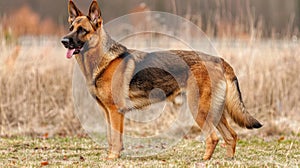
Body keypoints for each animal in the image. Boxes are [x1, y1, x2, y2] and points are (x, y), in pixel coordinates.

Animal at [60, 0, 260, 160]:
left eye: (82, 30)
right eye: (71, 29)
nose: (63, 41)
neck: (102, 60)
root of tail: (220, 60)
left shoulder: (116, 112)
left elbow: (116, 139)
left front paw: (112, 158)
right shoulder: (107, 113)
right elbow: (111, 138)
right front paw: (111, 156)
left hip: (199, 109)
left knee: (214, 137)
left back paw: (204, 160)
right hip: (215, 112)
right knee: (231, 136)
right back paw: (227, 160)